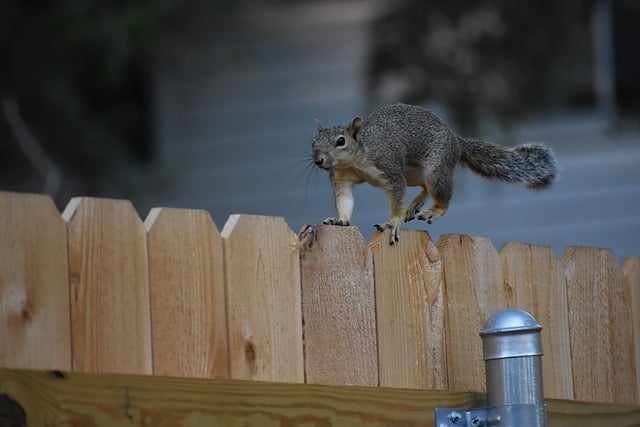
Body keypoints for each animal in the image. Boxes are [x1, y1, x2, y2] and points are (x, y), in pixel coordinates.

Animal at [312, 102, 556, 246]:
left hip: (435, 169)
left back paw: (433, 211)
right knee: (423, 187)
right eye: (313, 142)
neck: (356, 160)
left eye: (340, 141)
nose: (318, 160)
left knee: (441, 195)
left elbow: (397, 197)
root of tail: (456, 140)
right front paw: (340, 220)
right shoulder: (341, 178)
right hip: (415, 173)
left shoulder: (390, 169)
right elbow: (345, 200)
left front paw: (392, 223)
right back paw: (415, 205)